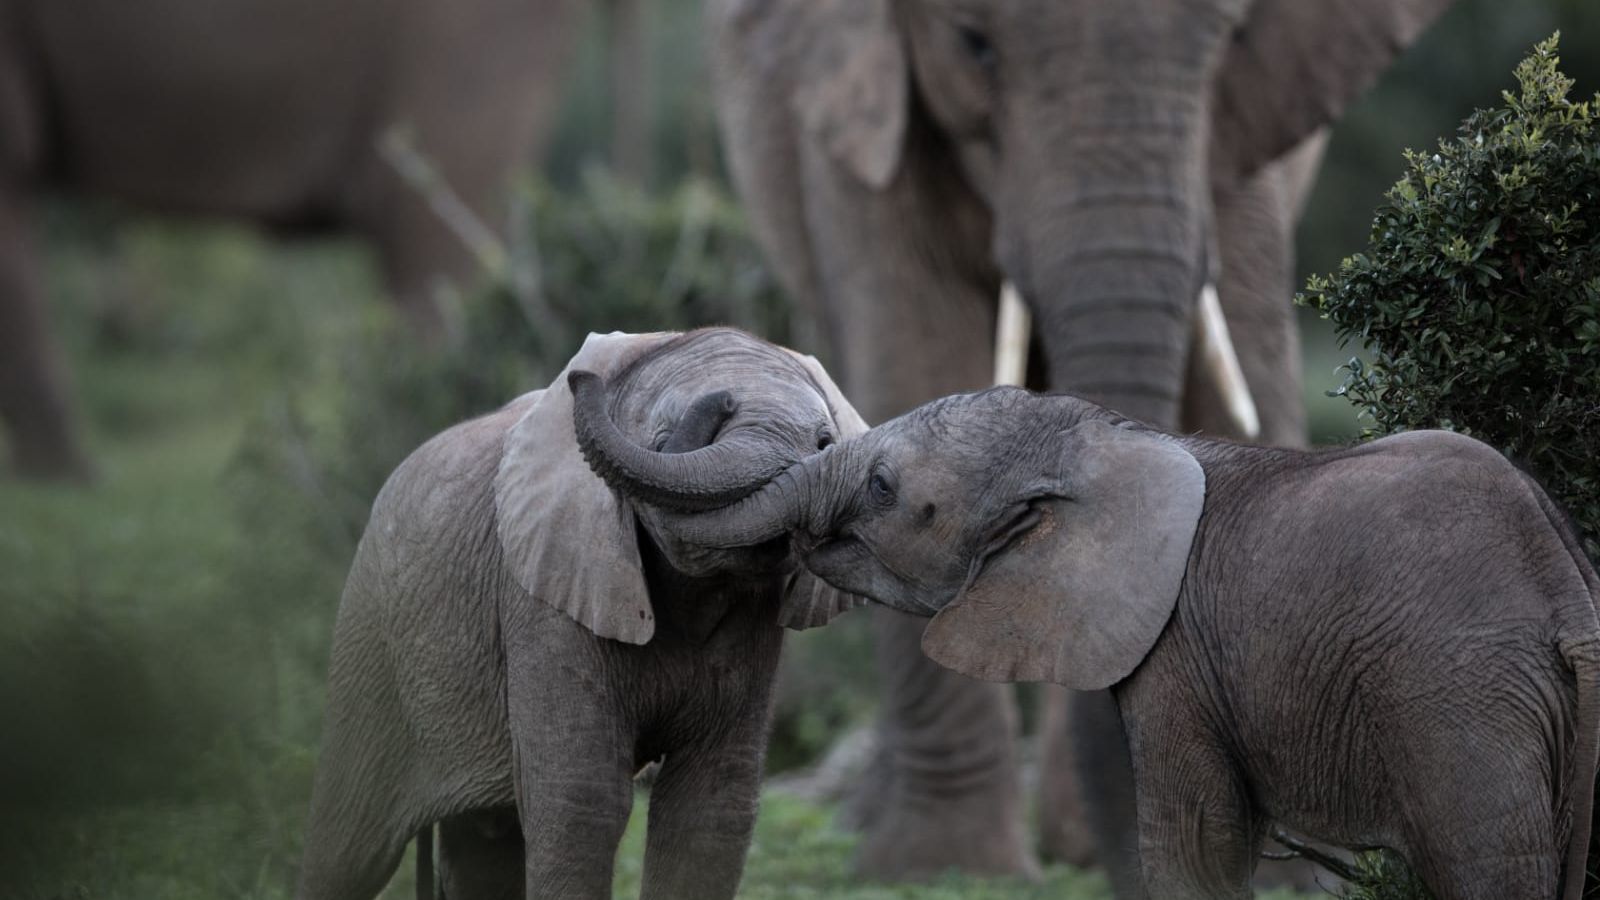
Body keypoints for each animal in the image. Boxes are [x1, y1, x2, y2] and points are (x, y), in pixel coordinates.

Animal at [294, 328, 864, 900]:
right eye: (663, 437)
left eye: (824, 442)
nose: (721, 402)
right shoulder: (543, 593)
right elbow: (583, 802)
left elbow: (710, 807)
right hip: (369, 636)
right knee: (346, 848)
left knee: (484, 840)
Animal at [571, 375, 1600, 900]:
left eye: (887, 490)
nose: (584, 373)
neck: (1115, 440)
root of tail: (1565, 591)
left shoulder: (1180, 650)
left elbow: (1196, 843)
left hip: (1462, 698)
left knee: (1487, 867)